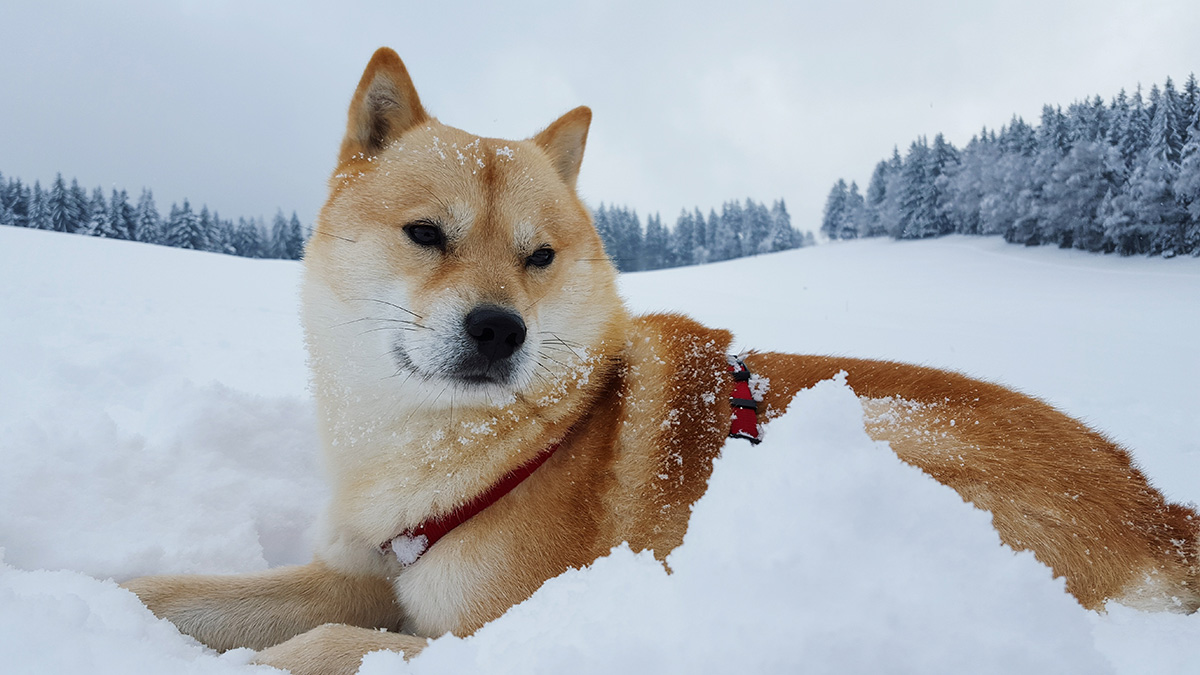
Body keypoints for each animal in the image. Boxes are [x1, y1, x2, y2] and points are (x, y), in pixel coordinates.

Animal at [124, 48, 1200, 672]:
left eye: (540, 257)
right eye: (427, 233)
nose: (498, 330)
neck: (445, 448)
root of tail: (1158, 507)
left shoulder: (481, 631)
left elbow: (315, 647)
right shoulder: (360, 573)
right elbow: (192, 596)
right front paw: (103, 595)